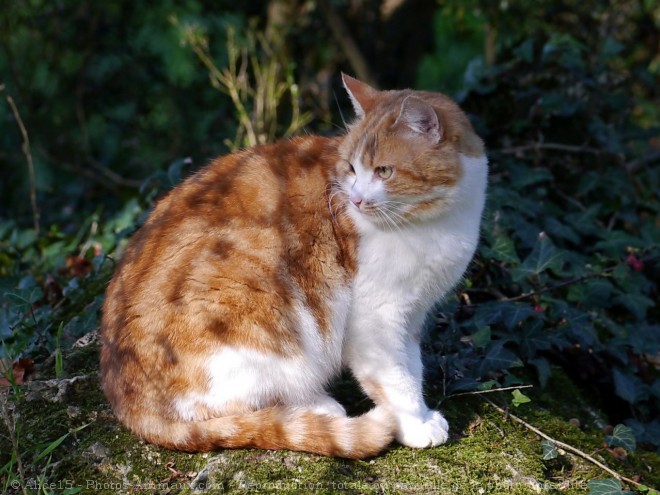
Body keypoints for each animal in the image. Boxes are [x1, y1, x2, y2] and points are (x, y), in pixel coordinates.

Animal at [100, 74, 488, 462]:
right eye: (351, 168)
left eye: (384, 171)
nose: (356, 199)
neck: (438, 221)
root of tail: (128, 406)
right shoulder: (376, 317)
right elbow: (396, 378)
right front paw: (414, 422)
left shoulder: (413, 313)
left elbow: (413, 366)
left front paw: (421, 413)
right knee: (231, 409)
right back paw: (317, 408)